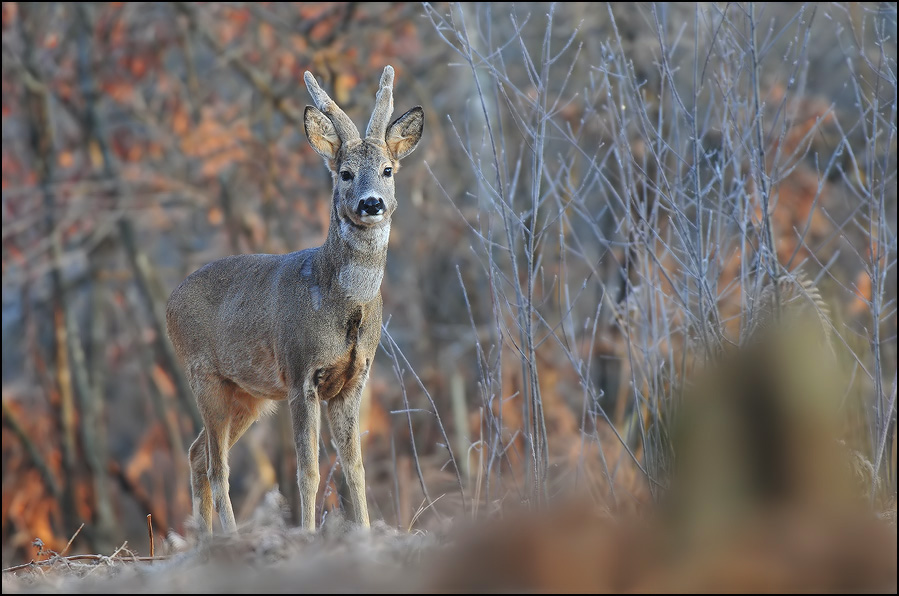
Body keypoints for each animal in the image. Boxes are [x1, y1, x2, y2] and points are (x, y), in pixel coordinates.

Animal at [166, 65, 426, 532]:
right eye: (344, 173)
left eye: (387, 169)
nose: (372, 203)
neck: (341, 302)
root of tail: (169, 305)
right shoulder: (300, 371)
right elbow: (308, 470)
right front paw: (307, 532)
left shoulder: (353, 380)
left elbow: (354, 467)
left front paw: (363, 532)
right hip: (203, 375)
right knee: (216, 464)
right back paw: (228, 536)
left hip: (247, 394)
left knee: (197, 454)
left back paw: (205, 539)